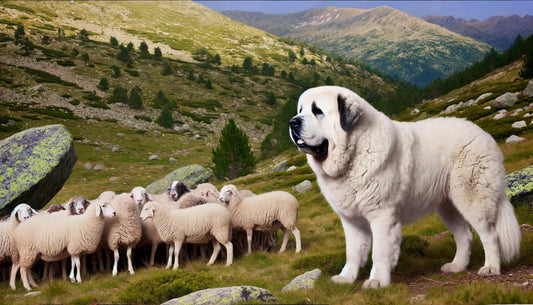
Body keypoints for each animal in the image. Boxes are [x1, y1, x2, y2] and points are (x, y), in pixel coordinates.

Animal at [288, 85, 516, 288]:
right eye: (300, 110)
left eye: (318, 110)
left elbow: (379, 251)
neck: (355, 152)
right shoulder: (351, 220)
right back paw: (457, 266)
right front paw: (346, 278)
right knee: (464, 236)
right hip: (447, 206)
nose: (292, 122)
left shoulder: (381, 215)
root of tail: (483, 133)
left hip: (472, 197)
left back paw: (491, 268)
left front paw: (377, 281)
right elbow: (352, 251)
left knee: (490, 234)